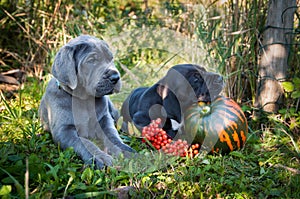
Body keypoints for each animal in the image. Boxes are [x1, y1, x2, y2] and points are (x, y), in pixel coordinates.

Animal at [39, 35, 135, 169]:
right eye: (91, 61)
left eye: (111, 58)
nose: (115, 77)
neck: (84, 100)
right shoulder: (63, 131)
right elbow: (83, 142)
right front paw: (99, 157)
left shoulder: (104, 119)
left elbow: (112, 135)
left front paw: (124, 150)